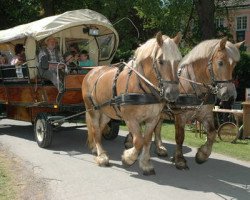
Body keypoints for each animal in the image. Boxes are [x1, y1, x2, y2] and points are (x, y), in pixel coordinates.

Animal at [82, 32, 182, 174]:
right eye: (161, 61)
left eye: (178, 60)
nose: (172, 93)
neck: (143, 87)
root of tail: (92, 71)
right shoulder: (130, 119)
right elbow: (138, 141)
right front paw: (128, 158)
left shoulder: (153, 119)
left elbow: (146, 140)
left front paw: (145, 164)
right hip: (93, 109)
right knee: (95, 129)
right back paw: (102, 157)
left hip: (107, 112)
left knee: (100, 128)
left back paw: (96, 149)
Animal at [124, 37, 243, 169]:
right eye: (220, 62)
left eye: (234, 65)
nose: (230, 95)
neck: (194, 84)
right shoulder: (180, 116)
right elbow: (180, 137)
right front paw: (180, 159)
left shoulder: (205, 114)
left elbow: (212, 133)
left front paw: (202, 155)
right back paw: (130, 142)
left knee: (157, 127)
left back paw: (160, 148)